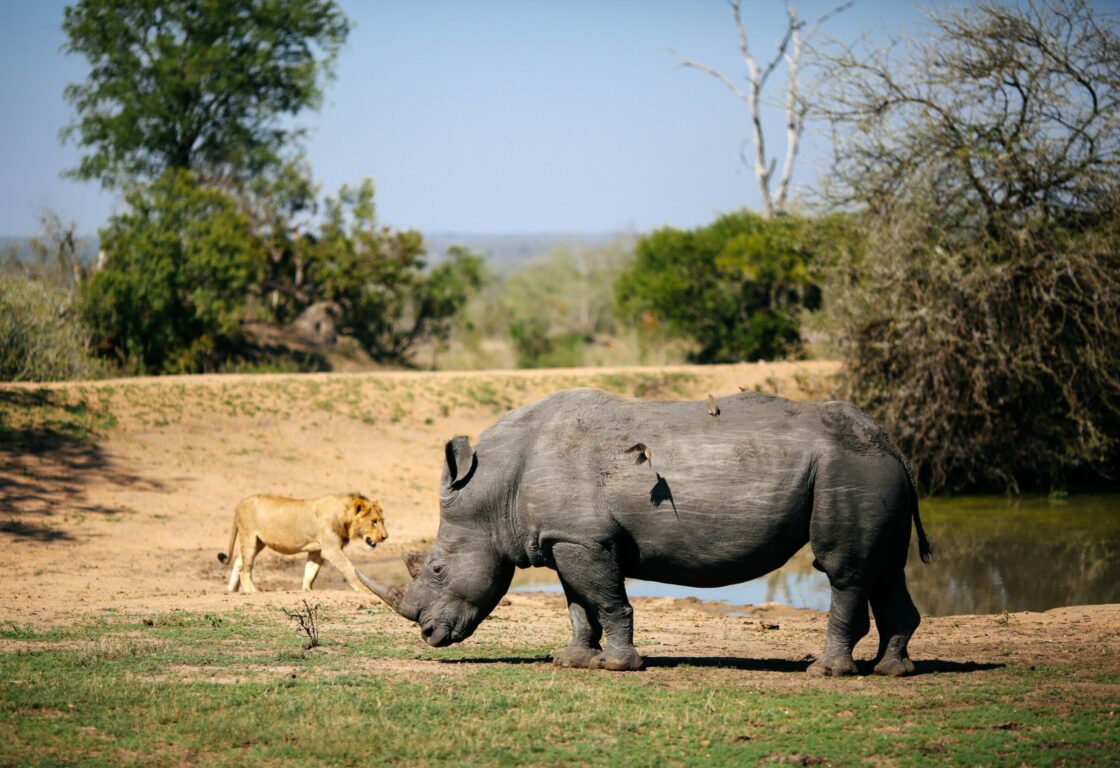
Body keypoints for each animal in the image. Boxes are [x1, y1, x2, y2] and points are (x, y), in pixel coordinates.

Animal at [218, 493, 388, 593]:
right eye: (374, 521)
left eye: (382, 520)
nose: (385, 537)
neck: (343, 516)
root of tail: (240, 503)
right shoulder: (331, 549)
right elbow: (349, 568)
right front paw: (364, 588)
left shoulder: (317, 550)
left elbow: (310, 572)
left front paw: (307, 590)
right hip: (249, 537)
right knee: (245, 570)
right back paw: (252, 591)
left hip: (258, 542)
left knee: (239, 561)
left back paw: (232, 589)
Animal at [357, 388, 931, 676]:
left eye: (436, 568)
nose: (429, 635)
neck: (493, 491)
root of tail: (893, 444)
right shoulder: (566, 538)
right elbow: (578, 606)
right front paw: (572, 661)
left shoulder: (585, 541)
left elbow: (608, 601)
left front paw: (619, 666)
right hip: (871, 470)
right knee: (884, 568)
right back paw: (891, 671)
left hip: (848, 469)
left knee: (845, 570)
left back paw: (827, 673)